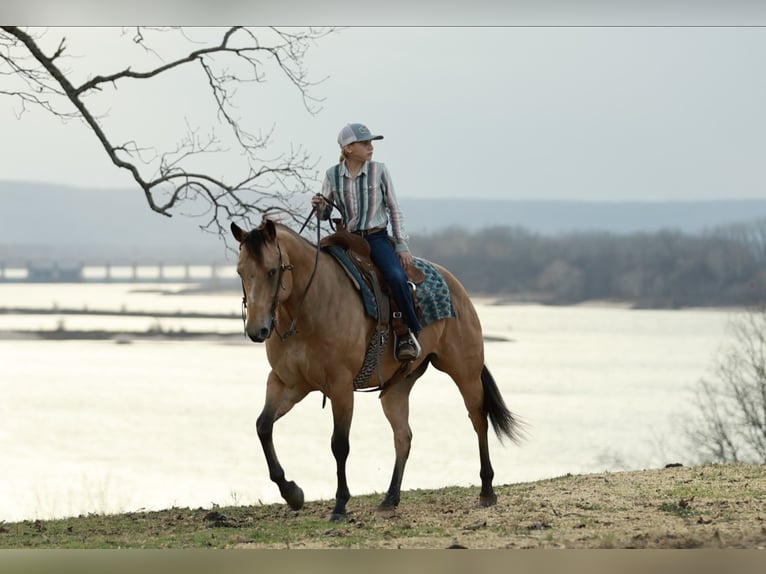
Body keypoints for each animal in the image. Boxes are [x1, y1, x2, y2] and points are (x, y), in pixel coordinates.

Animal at [231, 218, 521, 521]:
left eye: (272, 271)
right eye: (241, 271)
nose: (257, 330)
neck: (311, 307)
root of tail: (456, 286)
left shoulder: (341, 386)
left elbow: (339, 444)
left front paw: (340, 505)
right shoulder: (286, 383)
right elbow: (263, 426)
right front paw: (293, 494)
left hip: (465, 371)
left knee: (478, 420)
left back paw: (486, 490)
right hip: (398, 386)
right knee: (403, 436)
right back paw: (390, 498)